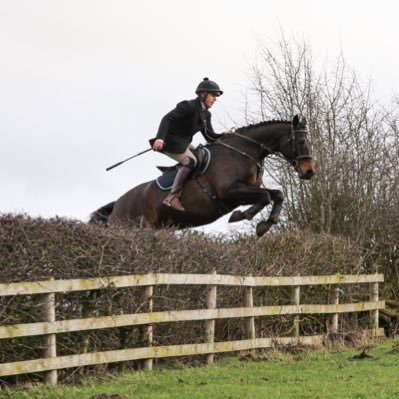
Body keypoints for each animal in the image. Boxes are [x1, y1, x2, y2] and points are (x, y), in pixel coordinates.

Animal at [90, 115, 316, 238]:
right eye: (301, 141)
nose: (309, 172)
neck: (244, 152)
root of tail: (117, 205)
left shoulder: (244, 192)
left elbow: (276, 194)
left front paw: (265, 225)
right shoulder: (229, 192)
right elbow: (266, 196)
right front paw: (243, 216)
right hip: (131, 226)